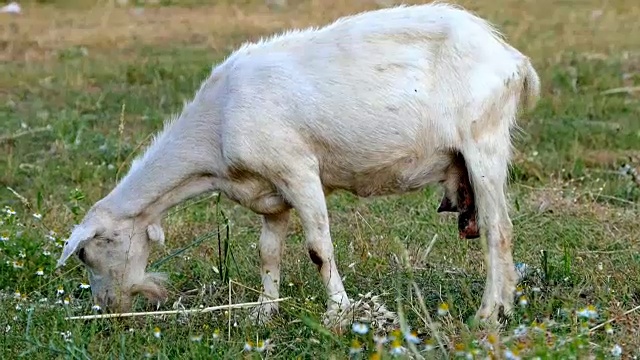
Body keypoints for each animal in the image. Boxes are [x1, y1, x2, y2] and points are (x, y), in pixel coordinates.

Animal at [58, 2, 540, 328]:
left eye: (85, 252)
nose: (106, 308)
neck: (217, 127)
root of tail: (512, 59)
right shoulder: (271, 193)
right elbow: (268, 252)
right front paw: (263, 313)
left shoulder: (298, 169)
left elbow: (318, 248)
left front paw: (338, 314)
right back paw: (502, 308)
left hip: (483, 140)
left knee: (499, 229)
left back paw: (488, 314)